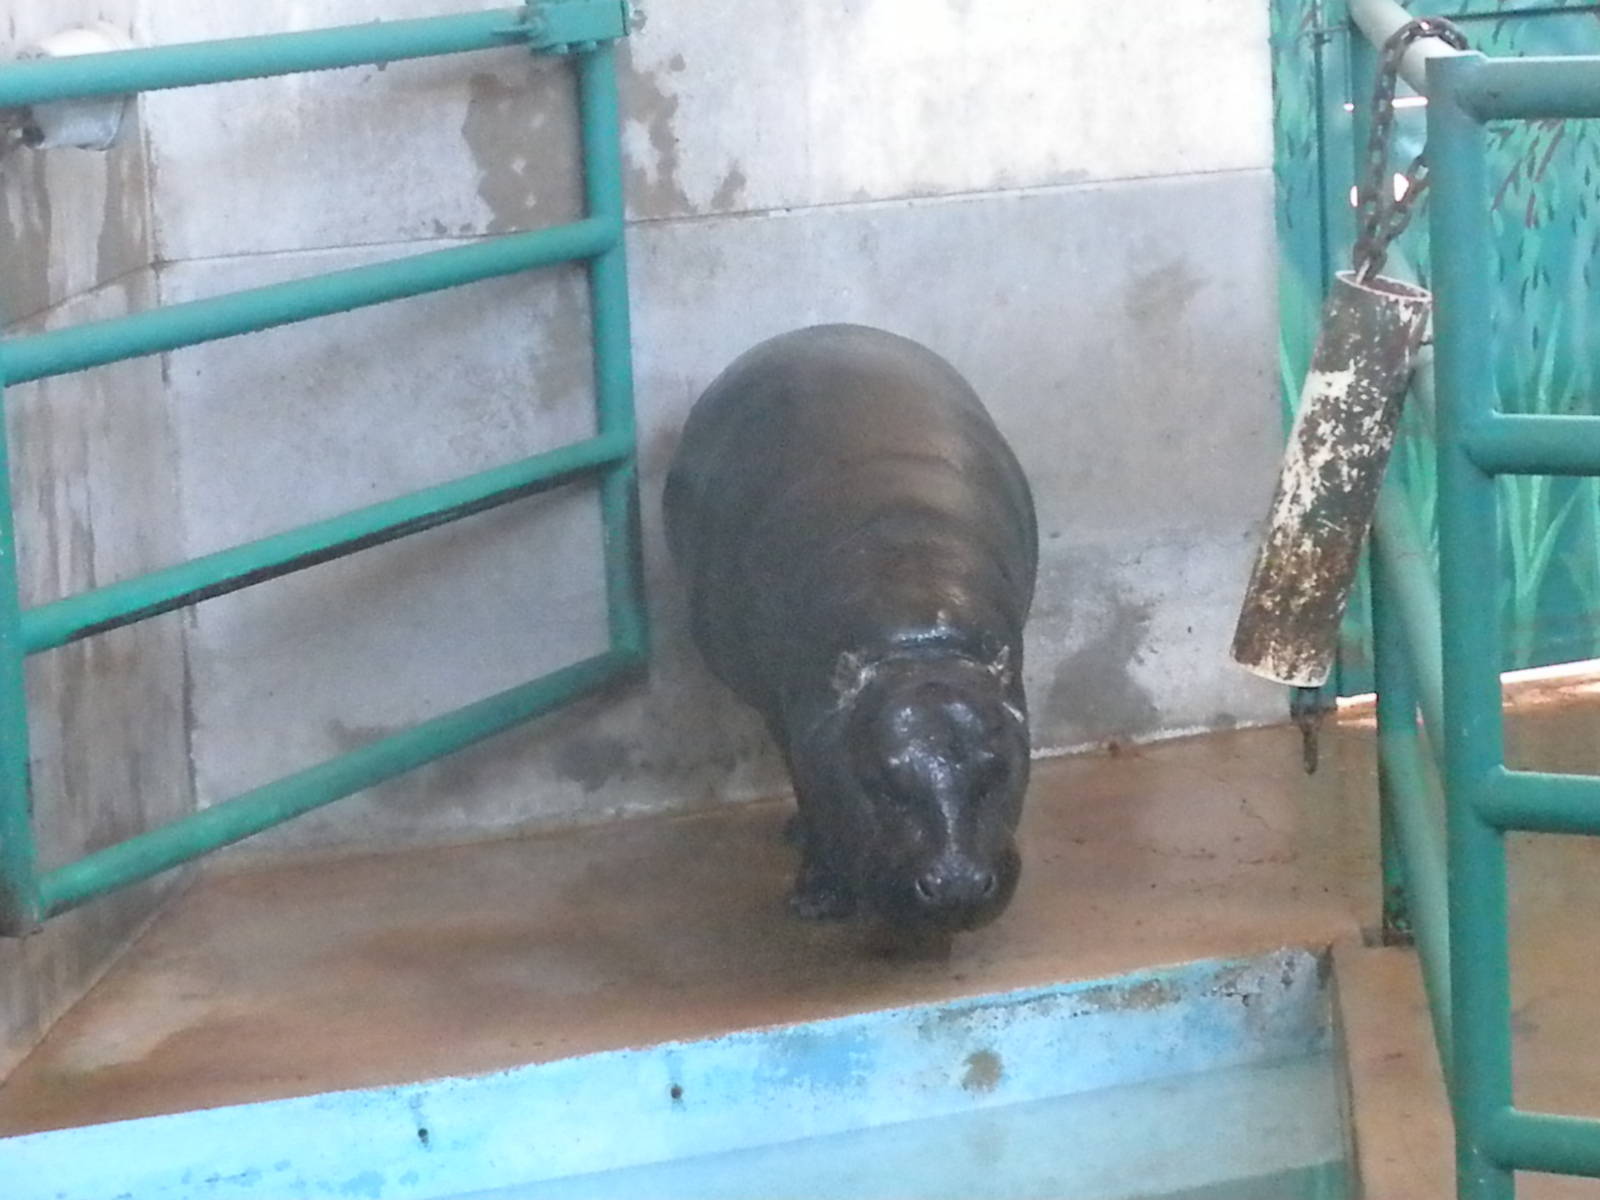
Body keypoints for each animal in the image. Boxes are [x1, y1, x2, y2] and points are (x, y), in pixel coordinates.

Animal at [663, 325, 1038, 933]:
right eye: (881, 778)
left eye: (996, 769)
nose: (956, 885)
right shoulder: (797, 721)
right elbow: (809, 783)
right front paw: (816, 898)